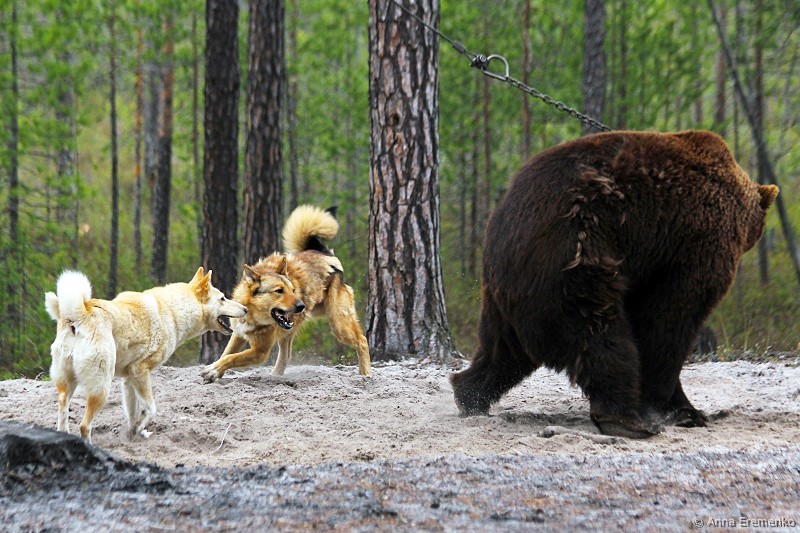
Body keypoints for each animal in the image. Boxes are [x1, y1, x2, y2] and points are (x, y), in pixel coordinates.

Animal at [45, 268, 247, 443]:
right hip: (101, 387)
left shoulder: (128, 379)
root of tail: (78, 316)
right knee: (84, 426)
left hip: (68, 385)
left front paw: (134, 433)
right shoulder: (140, 371)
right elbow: (150, 409)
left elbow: (133, 413)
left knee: (63, 413)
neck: (173, 311)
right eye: (223, 298)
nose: (245, 309)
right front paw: (140, 427)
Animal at [200, 205, 372, 382]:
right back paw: (275, 376)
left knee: (362, 341)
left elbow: (231, 358)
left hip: (339, 324)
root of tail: (324, 253)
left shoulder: (260, 352)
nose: (302, 306)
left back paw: (366, 375)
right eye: (279, 291)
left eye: (292, 290)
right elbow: (225, 354)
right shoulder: (239, 335)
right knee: (286, 355)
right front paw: (214, 372)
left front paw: (213, 370)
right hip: (290, 330)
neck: (252, 315)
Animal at [450, 130, 778, 438]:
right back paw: (625, 419)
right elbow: (668, 322)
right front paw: (678, 408)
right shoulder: (693, 246)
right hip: (573, 256)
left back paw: (469, 395)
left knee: (502, 351)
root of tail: (498, 228)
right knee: (596, 332)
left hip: (506, 294)